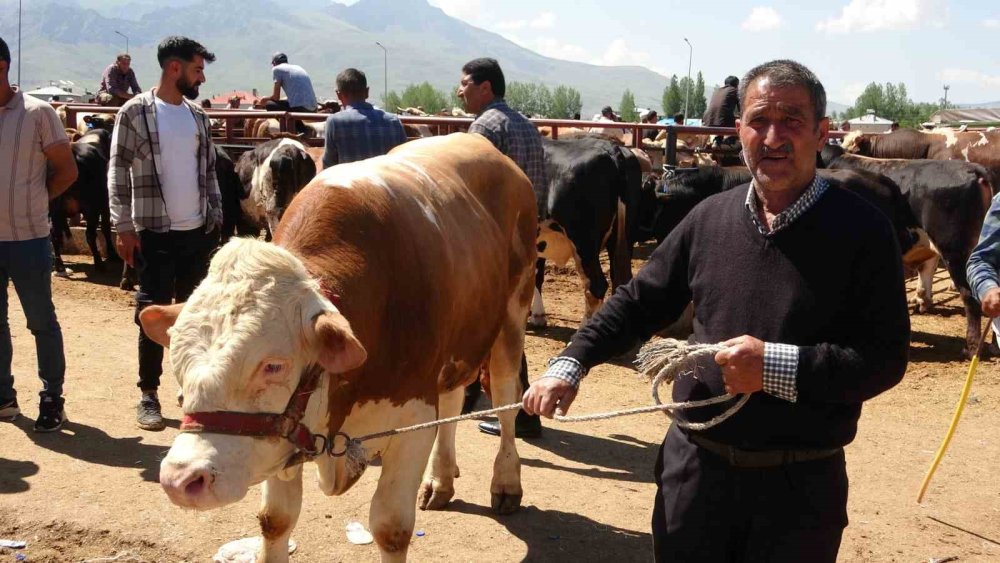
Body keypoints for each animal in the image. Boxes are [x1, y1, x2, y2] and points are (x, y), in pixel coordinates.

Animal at [143, 133, 540, 563]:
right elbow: (275, 519)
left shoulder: (413, 416)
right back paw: (441, 480)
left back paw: (506, 481)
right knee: (452, 404)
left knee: (506, 399)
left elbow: (391, 528)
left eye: (274, 366)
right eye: (177, 363)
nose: (181, 478)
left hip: (512, 317)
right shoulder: (288, 437)